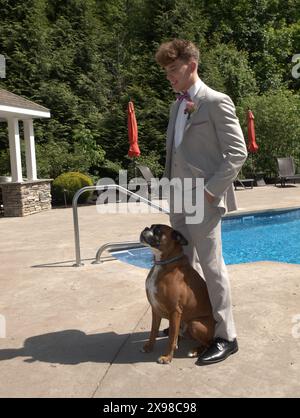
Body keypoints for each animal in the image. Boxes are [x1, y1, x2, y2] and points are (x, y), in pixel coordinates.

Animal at [139, 224, 214, 364]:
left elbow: (171, 339)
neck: (163, 263)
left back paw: (195, 351)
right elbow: (153, 331)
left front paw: (167, 357)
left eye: (158, 231)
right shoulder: (155, 309)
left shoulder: (174, 311)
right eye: (151, 226)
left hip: (194, 324)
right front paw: (149, 346)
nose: (146, 228)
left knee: (208, 343)